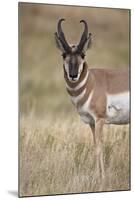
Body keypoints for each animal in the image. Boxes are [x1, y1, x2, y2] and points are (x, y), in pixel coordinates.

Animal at [54, 18, 130, 178]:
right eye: (64, 55)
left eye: (83, 55)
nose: (73, 75)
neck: (91, 82)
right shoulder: (91, 122)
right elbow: (95, 146)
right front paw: (97, 175)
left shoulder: (100, 120)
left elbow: (99, 148)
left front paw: (101, 177)